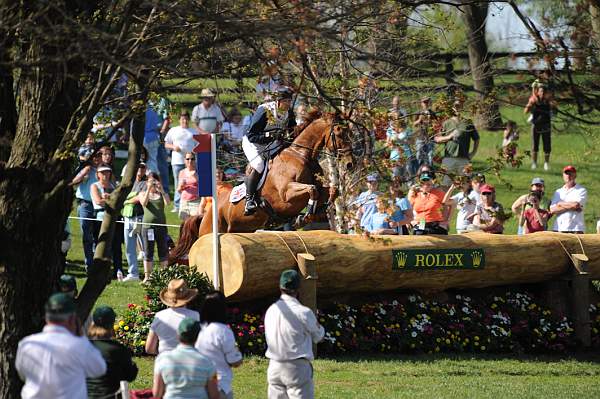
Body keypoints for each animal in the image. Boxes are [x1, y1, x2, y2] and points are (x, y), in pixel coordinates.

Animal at [199, 112, 354, 236]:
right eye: (339, 133)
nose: (349, 164)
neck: (301, 155)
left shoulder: (318, 188)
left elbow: (332, 190)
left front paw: (319, 211)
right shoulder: (286, 193)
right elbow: (312, 189)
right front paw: (307, 215)